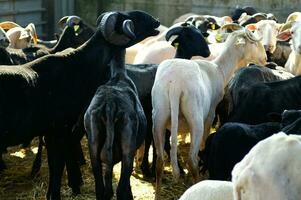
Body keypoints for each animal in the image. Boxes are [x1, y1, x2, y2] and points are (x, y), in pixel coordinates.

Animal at [0, 10, 159, 200]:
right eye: (133, 19)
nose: (156, 22)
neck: (78, 65)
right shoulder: (60, 128)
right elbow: (58, 164)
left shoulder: (52, 131)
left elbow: (54, 164)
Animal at [152, 28, 264, 200]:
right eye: (255, 43)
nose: (265, 58)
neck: (219, 69)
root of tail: (175, 84)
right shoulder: (210, 114)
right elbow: (203, 144)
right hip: (195, 117)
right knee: (192, 160)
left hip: (159, 115)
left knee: (160, 160)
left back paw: (158, 194)